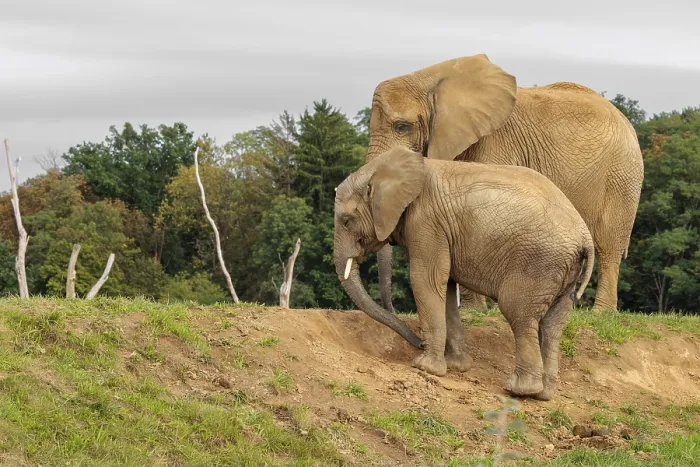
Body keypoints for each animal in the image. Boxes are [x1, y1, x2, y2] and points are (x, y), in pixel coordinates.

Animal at [333, 147, 594, 400]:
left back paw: (519, 390)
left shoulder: (426, 221)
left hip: (539, 262)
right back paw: (544, 394)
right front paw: (456, 366)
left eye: (346, 221)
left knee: (520, 316)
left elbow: (426, 280)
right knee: (552, 324)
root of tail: (585, 236)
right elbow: (446, 285)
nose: (419, 343)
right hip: (563, 270)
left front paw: (425, 367)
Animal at [367, 54, 643, 313]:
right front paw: (475, 310)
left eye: (402, 127)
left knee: (609, 243)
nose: (394, 309)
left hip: (622, 176)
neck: (431, 78)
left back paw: (600, 312)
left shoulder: (495, 141)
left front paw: (477, 311)